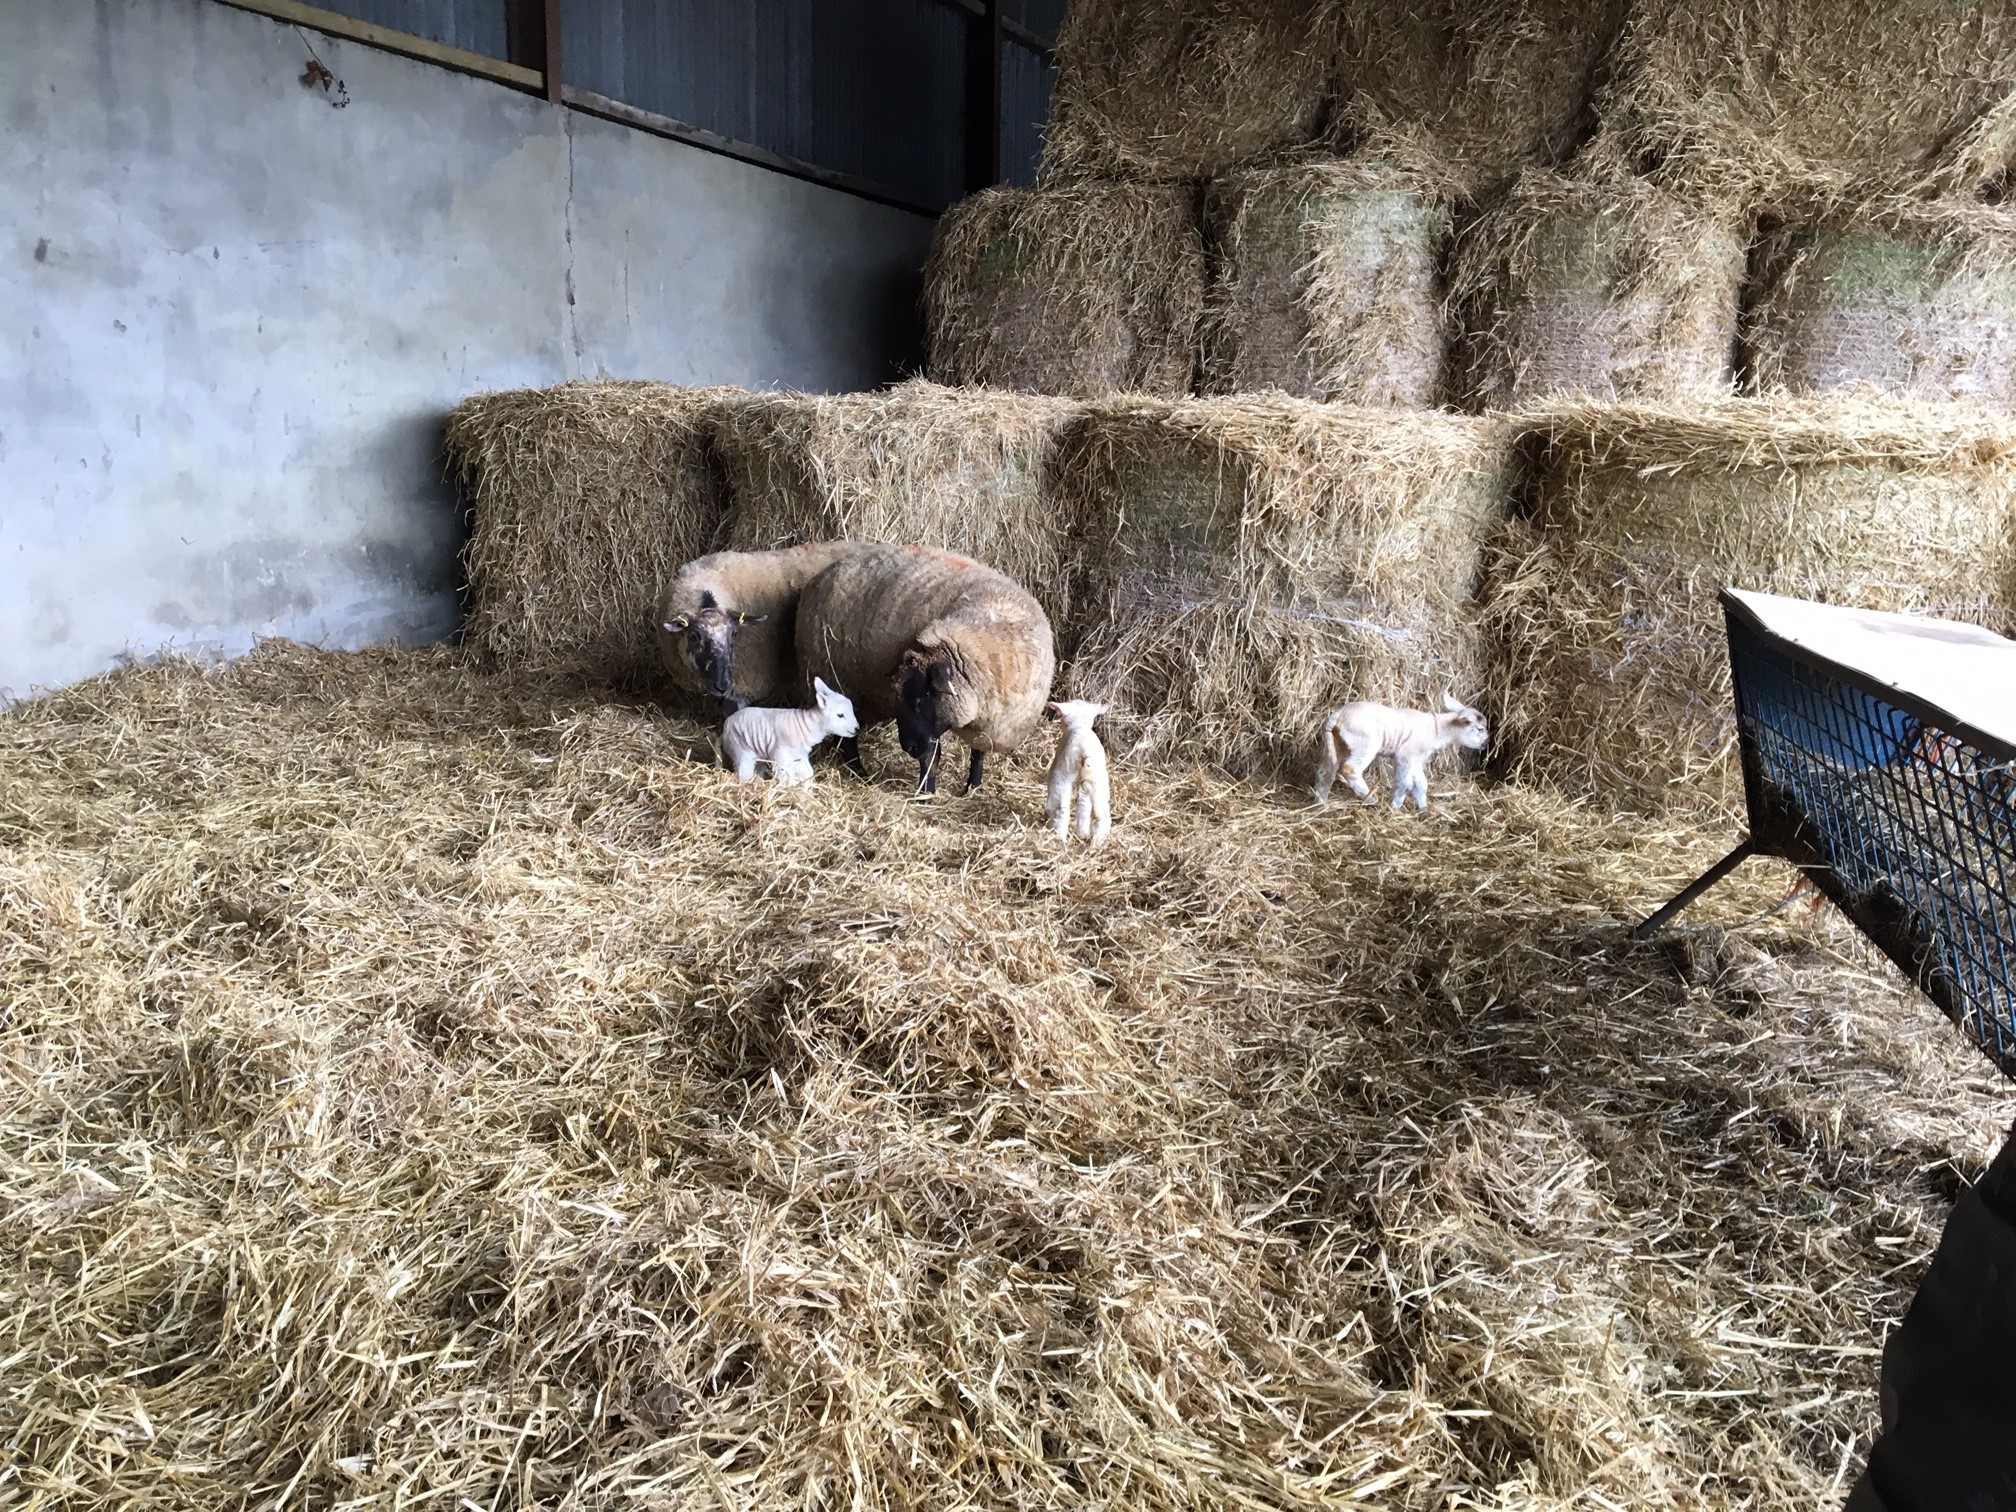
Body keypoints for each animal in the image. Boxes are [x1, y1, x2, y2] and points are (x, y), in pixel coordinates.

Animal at [721, 681, 854, 786]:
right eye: (840, 715)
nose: (856, 729)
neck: (807, 725)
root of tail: (724, 728)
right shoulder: (781, 752)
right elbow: (785, 774)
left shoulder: (800, 754)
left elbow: (808, 773)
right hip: (739, 749)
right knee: (744, 773)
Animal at [794, 544, 1064, 794]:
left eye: (920, 701)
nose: (908, 748)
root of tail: (820, 577)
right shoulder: (930, 730)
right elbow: (931, 756)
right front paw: (927, 792)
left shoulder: (983, 723)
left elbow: (977, 754)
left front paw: (973, 787)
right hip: (839, 678)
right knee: (848, 737)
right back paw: (860, 773)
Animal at [1048, 705, 1112, 846]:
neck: (1080, 724)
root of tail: (1084, 748)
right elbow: (1084, 806)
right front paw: (1082, 833)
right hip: (1098, 781)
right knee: (1101, 815)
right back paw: (1096, 843)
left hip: (1062, 774)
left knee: (1061, 809)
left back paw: (1059, 838)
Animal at [1314, 697, 1491, 818]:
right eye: (1480, 729)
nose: (1486, 743)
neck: (1436, 730)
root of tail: (1339, 715)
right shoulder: (1405, 755)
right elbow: (1405, 783)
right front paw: (1395, 805)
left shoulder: (1417, 760)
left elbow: (1421, 784)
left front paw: (1423, 807)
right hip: (1365, 744)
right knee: (1349, 769)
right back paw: (1370, 798)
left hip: (1338, 744)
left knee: (1326, 772)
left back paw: (1320, 803)